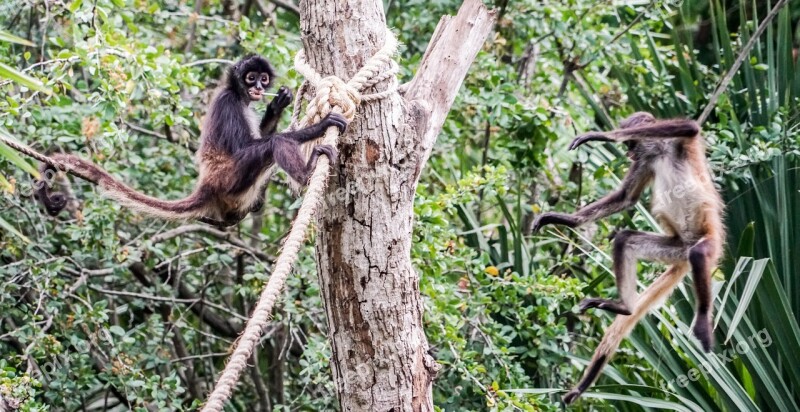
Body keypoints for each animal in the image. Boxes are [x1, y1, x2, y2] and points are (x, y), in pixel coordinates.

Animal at [36, 53, 346, 227]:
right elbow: (254, 145)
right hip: (229, 178)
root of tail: (207, 185)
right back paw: (307, 174)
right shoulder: (228, 103)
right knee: (275, 144)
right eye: (250, 78)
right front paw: (319, 126)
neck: (238, 94)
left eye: (263, 79)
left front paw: (276, 105)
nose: (259, 87)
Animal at [532, 111, 724, 404]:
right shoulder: (646, 160)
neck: (659, 150)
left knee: (700, 254)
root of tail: (685, 249)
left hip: (707, 242)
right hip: (675, 247)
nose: (628, 152)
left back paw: (701, 319)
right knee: (625, 240)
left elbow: (690, 127)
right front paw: (564, 219)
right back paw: (624, 307)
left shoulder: (672, 144)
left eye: (631, 142)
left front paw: (601, 136)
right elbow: (625, 198)